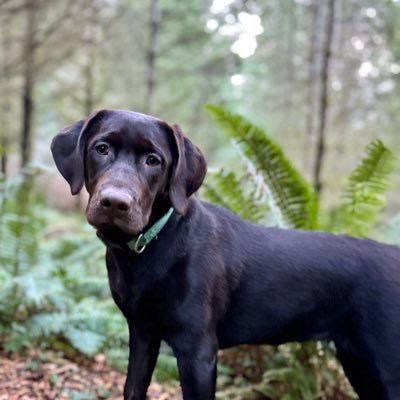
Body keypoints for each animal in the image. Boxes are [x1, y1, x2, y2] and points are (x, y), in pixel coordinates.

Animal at [51, 109, 400, 400]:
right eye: (101, 149)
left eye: (154, 160)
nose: (115, 202)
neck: (150, 247)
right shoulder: (142, 333)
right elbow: (133, 389)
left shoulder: (198, 351)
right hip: (360, 363)